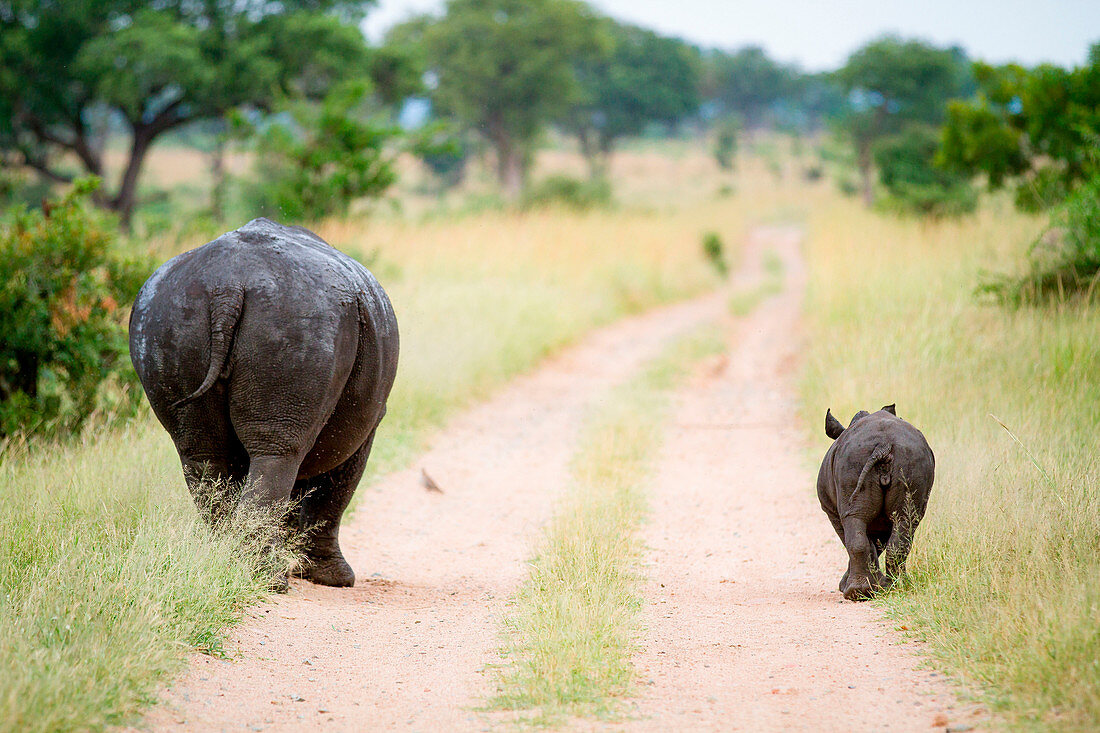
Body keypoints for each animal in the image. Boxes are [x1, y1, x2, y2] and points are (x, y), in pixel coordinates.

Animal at [132, 215, 400, 581]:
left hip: (167, 316)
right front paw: (335, 579)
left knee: (202, 455)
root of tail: (227, 286)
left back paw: (231, 563)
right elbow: (335, 490)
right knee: (278, 452)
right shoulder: (369, 423)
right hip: (298, 320)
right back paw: (268, 577)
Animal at [818, 405, 937, 598]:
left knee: (854, 520)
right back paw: (899, 586)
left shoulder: (830, 511)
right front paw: (877, 584)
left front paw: (850, 585)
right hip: (910, 458)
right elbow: (876, 542)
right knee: (905, 520)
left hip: (853, 459)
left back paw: (858, 593)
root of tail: (883, 446)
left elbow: (858, 540)